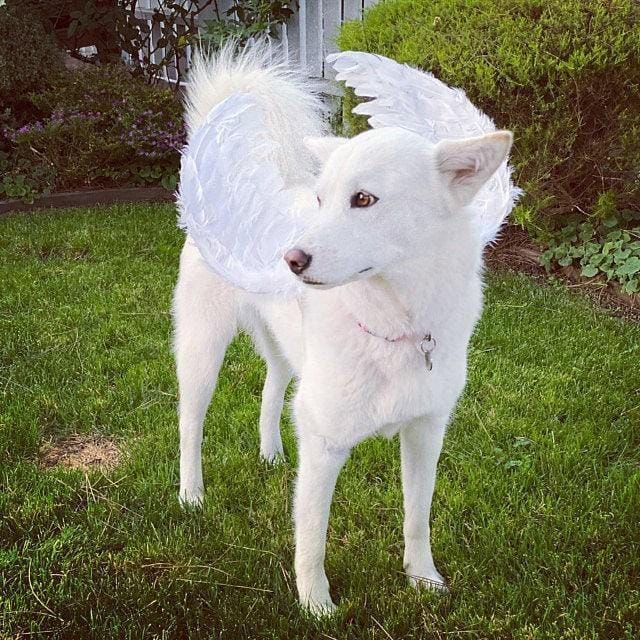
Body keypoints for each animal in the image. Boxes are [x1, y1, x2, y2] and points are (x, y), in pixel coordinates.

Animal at [172, 45, 512, 616]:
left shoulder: (426, 434)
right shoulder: (325, 446)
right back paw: (191, 496)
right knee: (190, 425)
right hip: (202, 355)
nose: (289, 260)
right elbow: (311, 537)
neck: (397, 326)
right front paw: (316, 606)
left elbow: (417, 518)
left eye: (364, 200)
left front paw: (423, 579)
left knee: (271, 389)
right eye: (319, 200)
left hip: (285, 354)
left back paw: (270, 455)